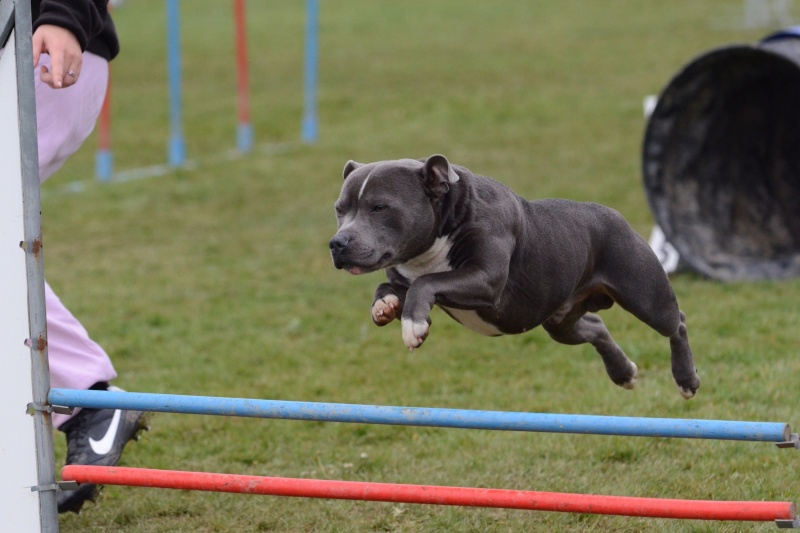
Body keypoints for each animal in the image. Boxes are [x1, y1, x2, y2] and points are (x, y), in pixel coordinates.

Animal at [332, 156, 700, 396]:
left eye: (380, 207)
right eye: (339, 210)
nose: (337, 243)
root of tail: (613, 215)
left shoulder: (485, 279)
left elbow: (428, 283)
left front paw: (414, 326)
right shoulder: (407, 275)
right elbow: (390, 285)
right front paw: (385, 307)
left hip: (647, 298)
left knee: (677, 322)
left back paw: (686, 380)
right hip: (561, 323)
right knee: (596, 327)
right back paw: (623, 373)